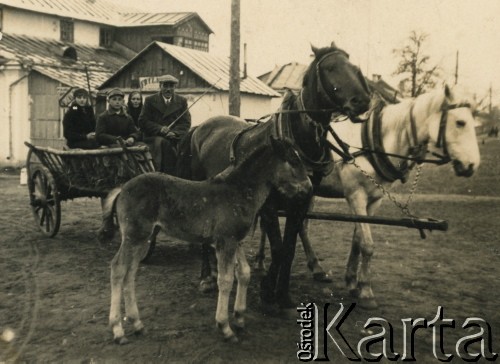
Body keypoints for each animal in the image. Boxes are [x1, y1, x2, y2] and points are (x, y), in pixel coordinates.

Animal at [100, 137, 312, 344]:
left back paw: (137, 324)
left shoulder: (236, 242)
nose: (308, 188)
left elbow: (244, 273)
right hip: (134, 236)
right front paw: (225, 327)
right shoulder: (226, 241)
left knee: (130, 272)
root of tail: (122, 188)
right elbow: (226, 280)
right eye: (293, 160)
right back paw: (118, 330)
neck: (238, 191)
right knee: (118, 268)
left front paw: (239, 318)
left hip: (142, 240)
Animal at [175, 43, 372, 310]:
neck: (294, 144)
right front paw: (268, 290)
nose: (362, 101)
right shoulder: (268, 206)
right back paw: (207, 277)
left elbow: (288, 248)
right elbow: (277, 248)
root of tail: (199, 127)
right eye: (330, 68)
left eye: (353, 67)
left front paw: (282, 293)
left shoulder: (300, 204)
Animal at [256, 84, 478, 308]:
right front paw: (366, 291)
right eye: (460, 122)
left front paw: (352, 281)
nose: (472, 165)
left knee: (300, 226)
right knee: (268, 222)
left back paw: (315, 268)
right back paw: (261, 262)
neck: (372, 142)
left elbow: (357, 239)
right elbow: (367, 244)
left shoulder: (374, 200)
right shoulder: (356, 196)